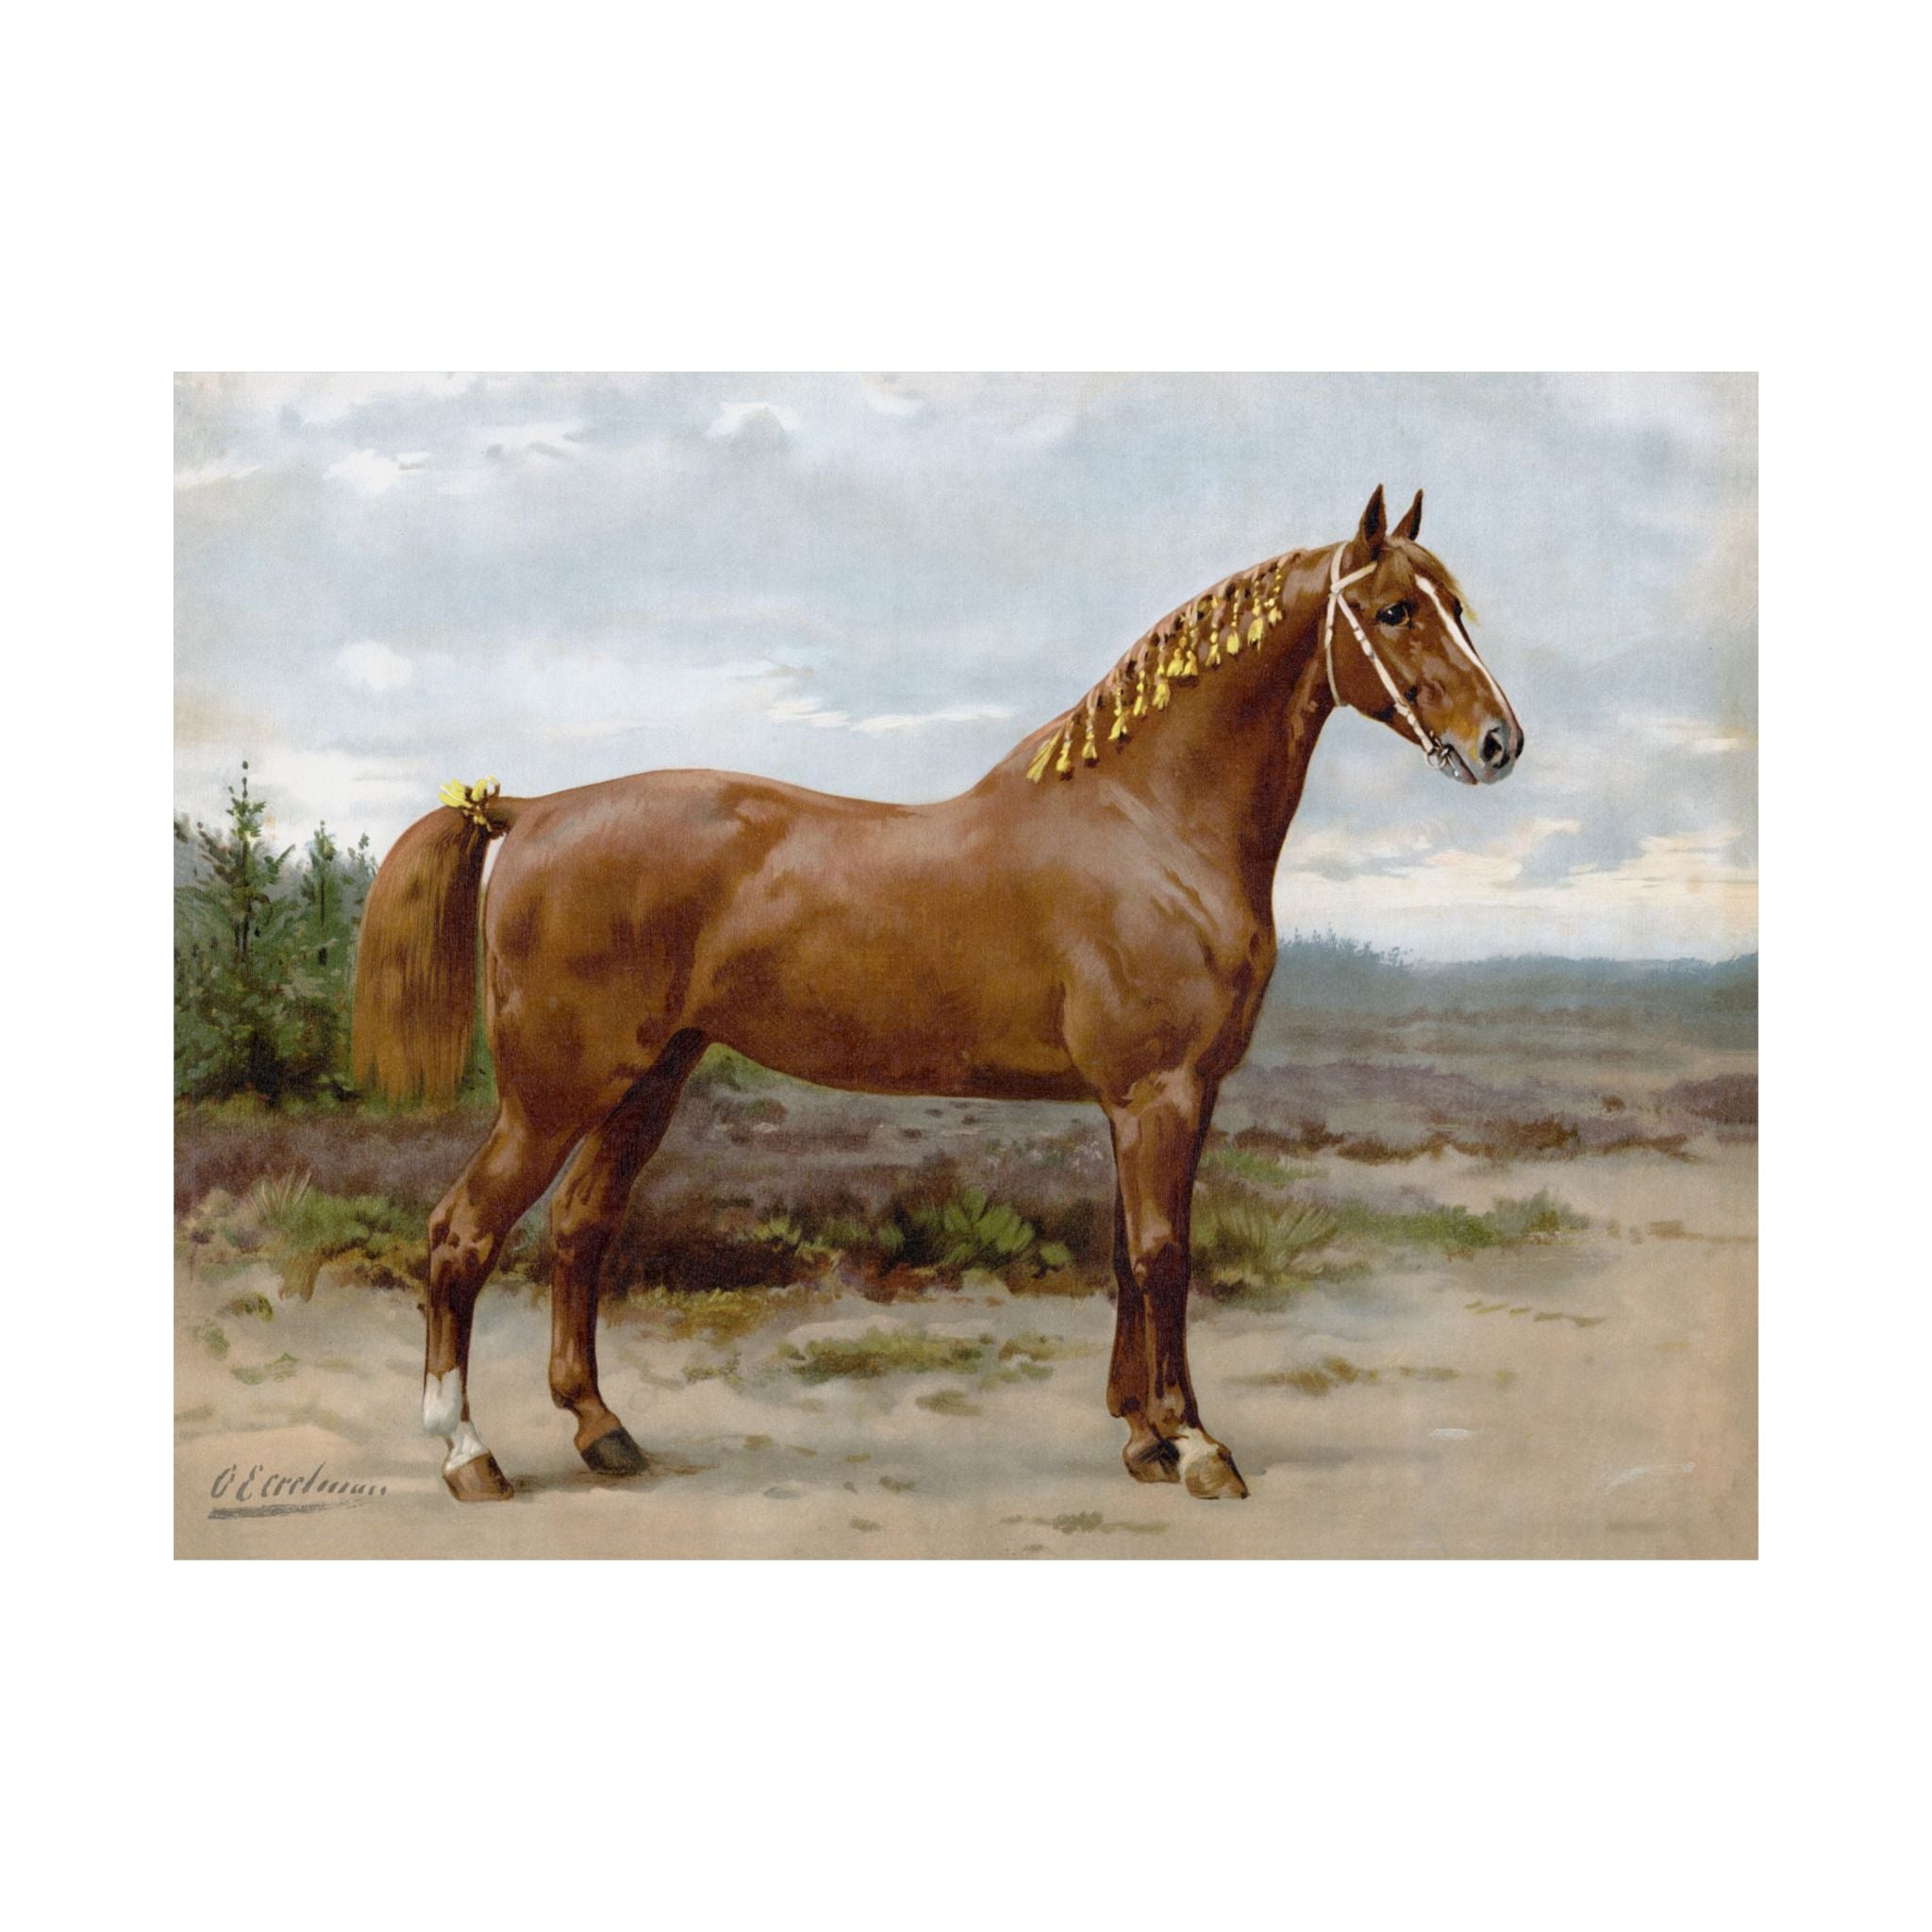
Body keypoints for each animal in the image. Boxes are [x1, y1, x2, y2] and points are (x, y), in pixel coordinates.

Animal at [351, 485, 1523, 1503]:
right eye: (1393, 609)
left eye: (1456, 605)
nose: (1497, 742)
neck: (1147, 819)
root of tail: (529, 810)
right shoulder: (1163, 1091)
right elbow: (1162, 1254)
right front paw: (1194, 1443)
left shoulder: (1138, 1100)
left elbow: (1124, 1253)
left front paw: (1139, 1436)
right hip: (554, 1093)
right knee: (459, 1234)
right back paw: (467, 1452)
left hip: (647, 1080)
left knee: (580, 1229)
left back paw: (602, 1430)